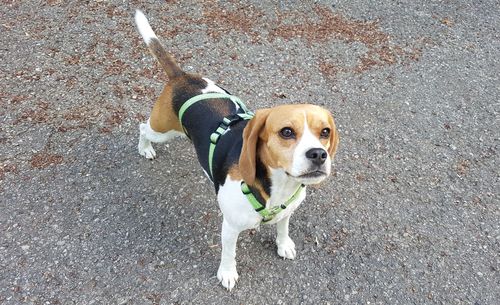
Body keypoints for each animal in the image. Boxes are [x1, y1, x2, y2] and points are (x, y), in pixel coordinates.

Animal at [135, 10, 338, 288]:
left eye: (325, 132)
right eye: (286, 132)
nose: (318, 154)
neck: (280, 186)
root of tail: (181, 77)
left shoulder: (287, 210)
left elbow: (283, 227)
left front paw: (283, 244)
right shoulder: (230, 226)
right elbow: (229, 252)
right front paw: (228, 273)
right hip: (163, 130)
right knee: (142, 128)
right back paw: (145, 148)